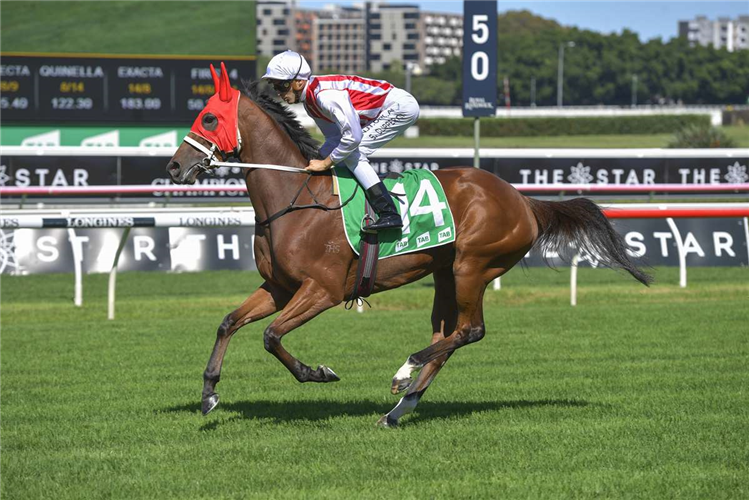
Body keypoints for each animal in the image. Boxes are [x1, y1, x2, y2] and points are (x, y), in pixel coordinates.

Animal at [165, 66, 648, 428]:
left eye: (208, 118)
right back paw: (400, 408)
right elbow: (228, 323)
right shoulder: (280, 287)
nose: (173, 167)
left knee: (470, 331)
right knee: (448, 336)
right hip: (446, 272)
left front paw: (317, 372)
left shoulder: (322, 290)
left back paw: (403, 373)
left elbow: (271, 336)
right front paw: (208, 393)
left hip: (473, 265)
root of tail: (522, 200)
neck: (295, 198)